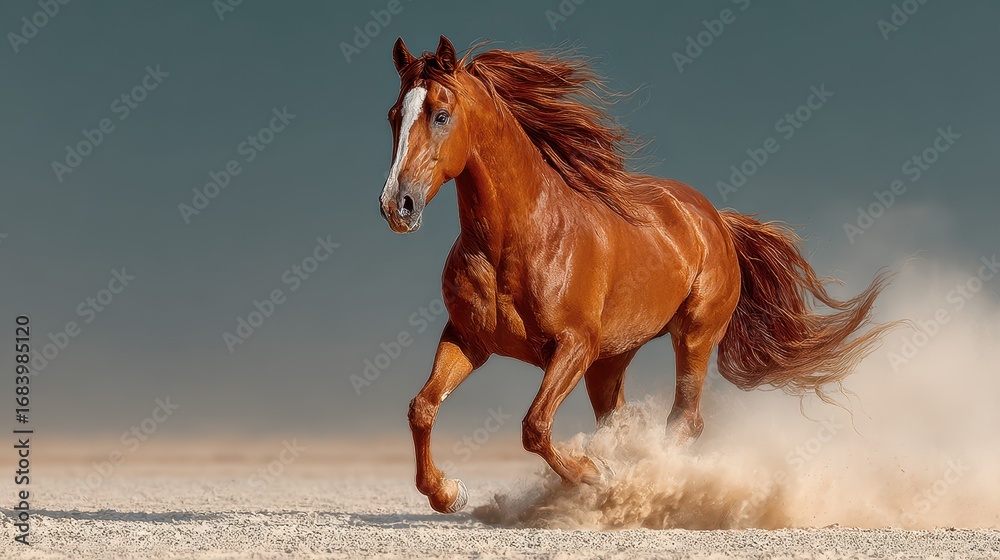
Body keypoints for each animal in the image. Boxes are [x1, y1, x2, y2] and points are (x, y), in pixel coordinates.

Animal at [378, 35, 894, 514]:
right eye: (393, 115)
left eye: (441, 115)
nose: (396, 205)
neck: (517, 241)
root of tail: (714, 219)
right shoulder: (468, 339)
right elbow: (422, 408)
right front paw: (448, 493)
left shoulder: (574, 346)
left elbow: (535, 426)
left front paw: (595, 474)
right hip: (610, 361)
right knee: (621, 422)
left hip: (692, 335)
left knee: (684, 420)